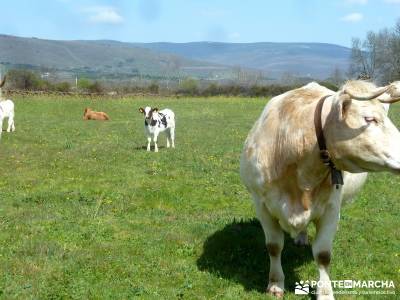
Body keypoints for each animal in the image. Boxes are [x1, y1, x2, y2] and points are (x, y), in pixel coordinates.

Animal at [241, 80, 400, 300]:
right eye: (370, 119)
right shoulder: (261, 204)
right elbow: (274, 246)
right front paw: (275, 284)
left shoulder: (331, 208)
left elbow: (323, 254)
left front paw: (325, 293)